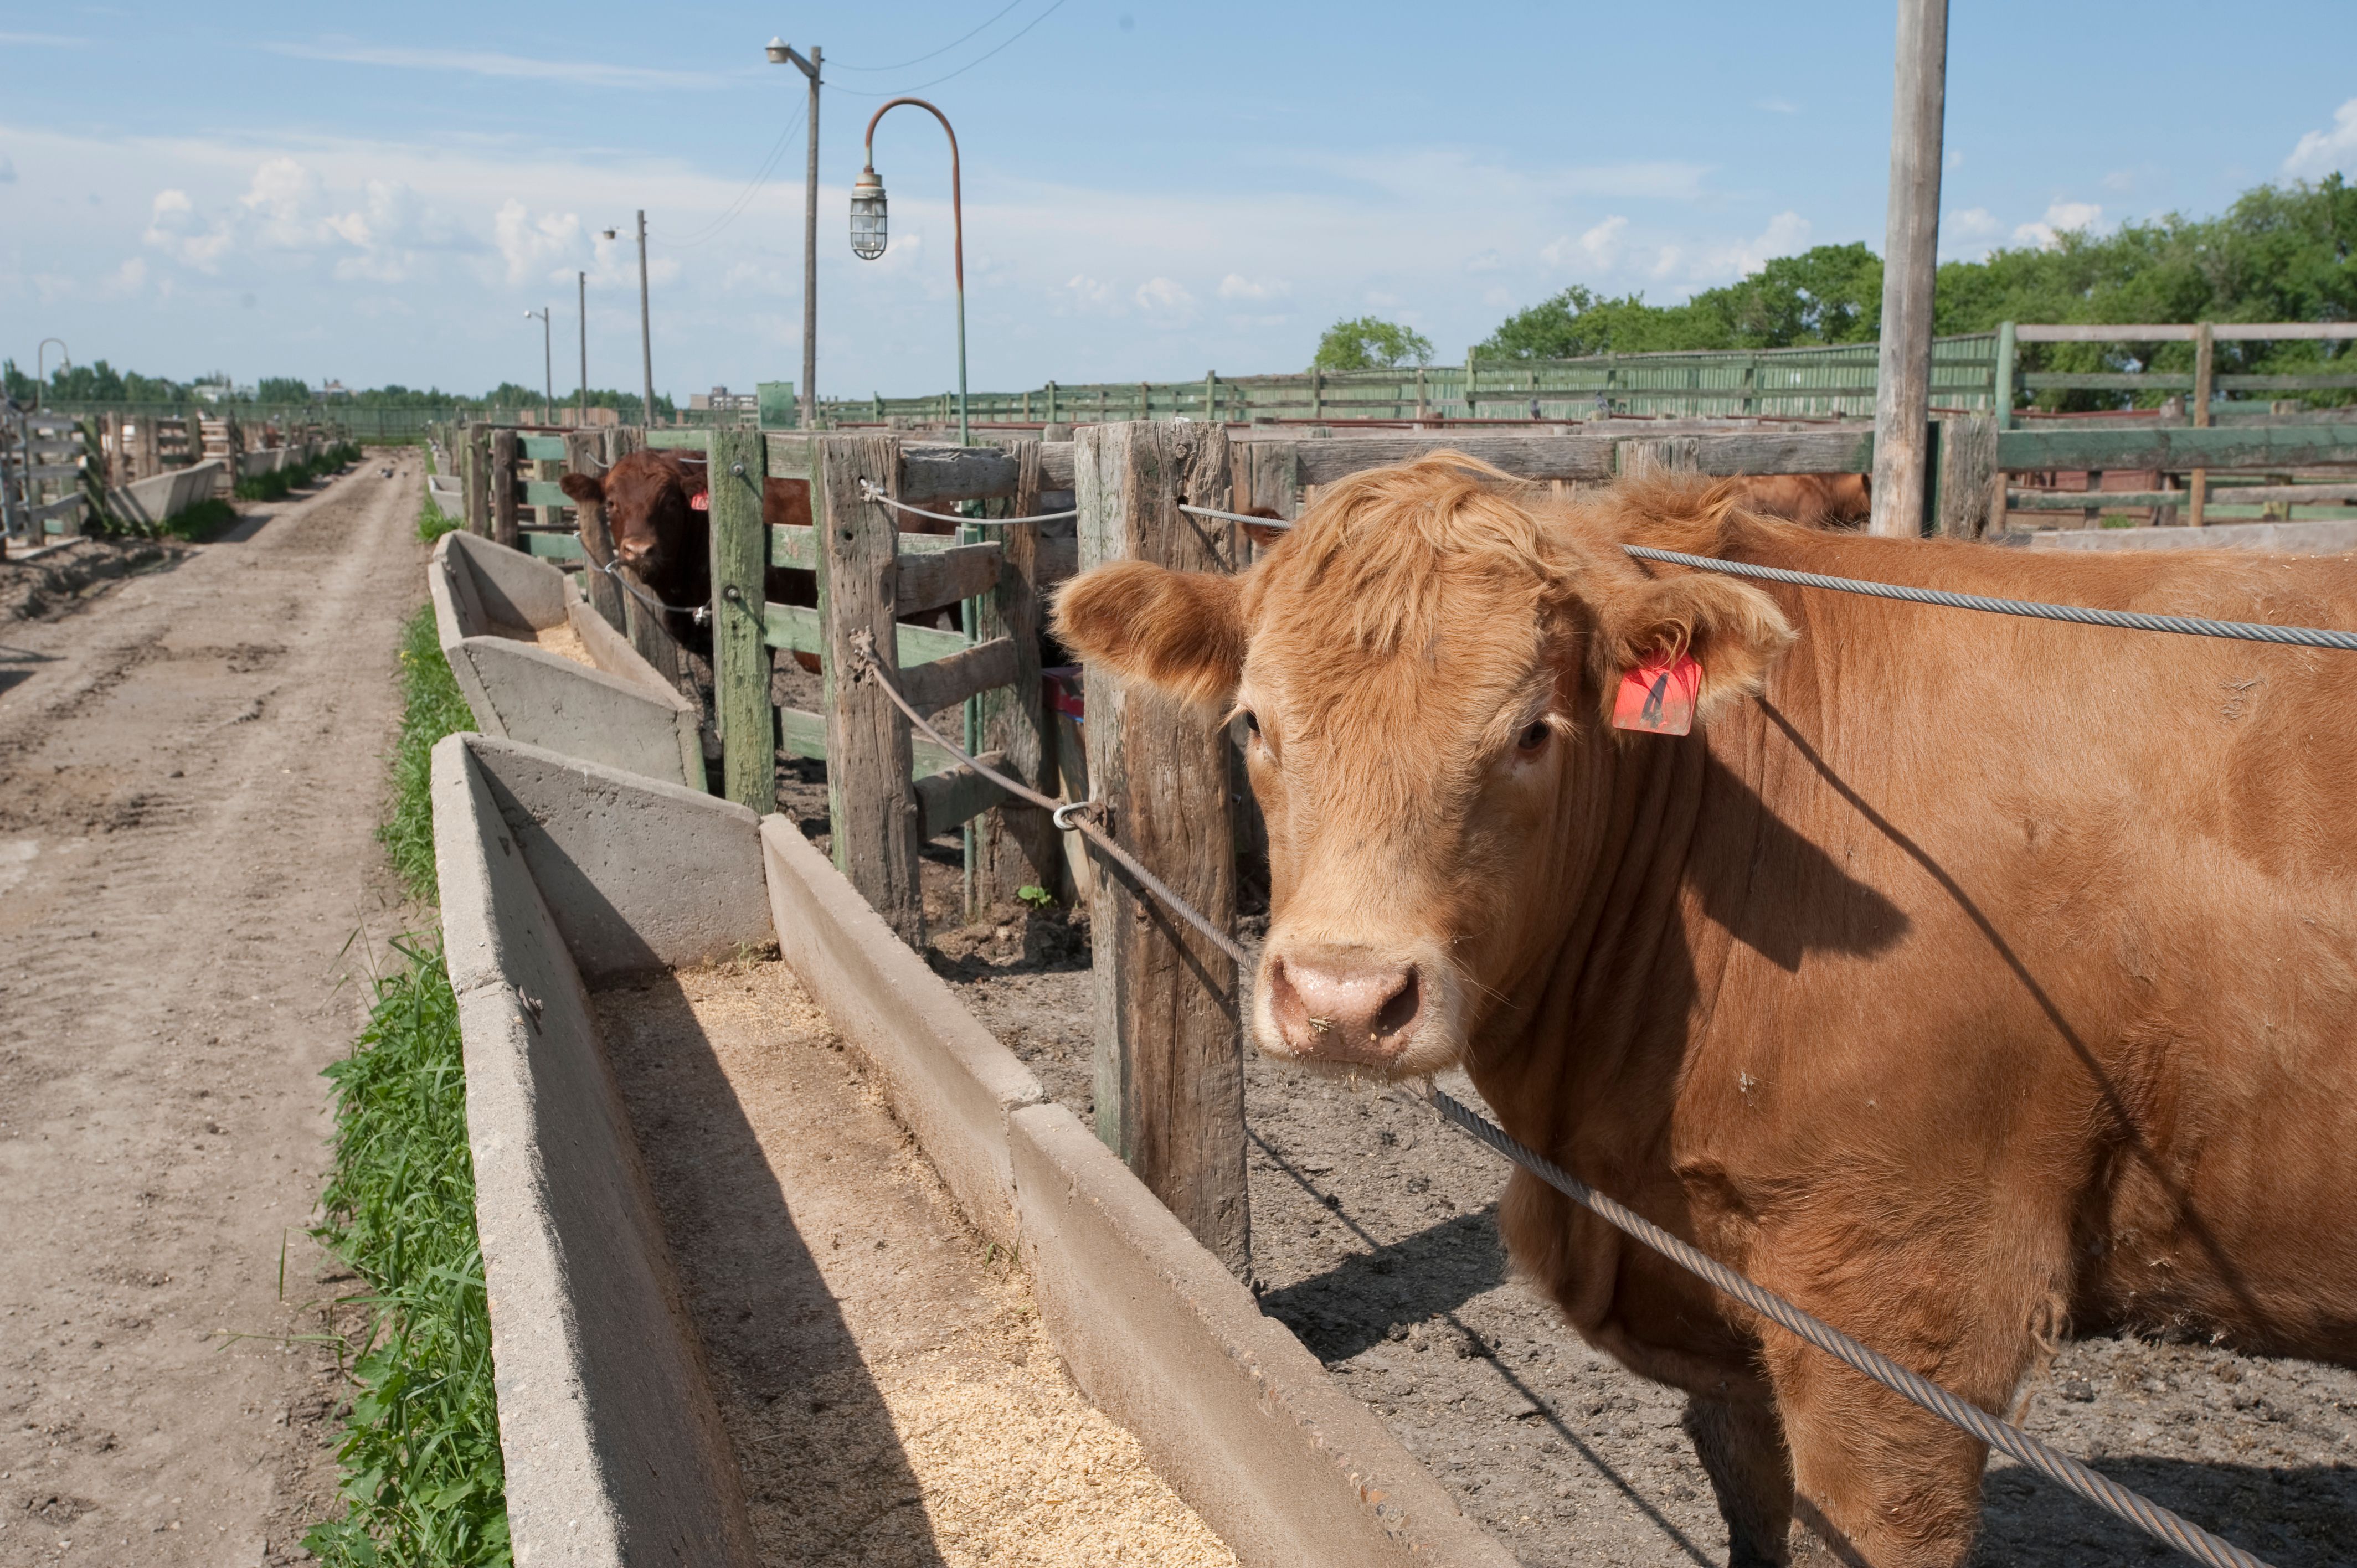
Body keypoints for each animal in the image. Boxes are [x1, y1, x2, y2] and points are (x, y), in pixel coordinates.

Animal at [1061, 450, 2357, 1556]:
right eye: (1252, 721)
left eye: (1533, 731)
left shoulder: (1913, 1317)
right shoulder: (1732, 1307)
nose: (1342, 996)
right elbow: (1752, 1505)